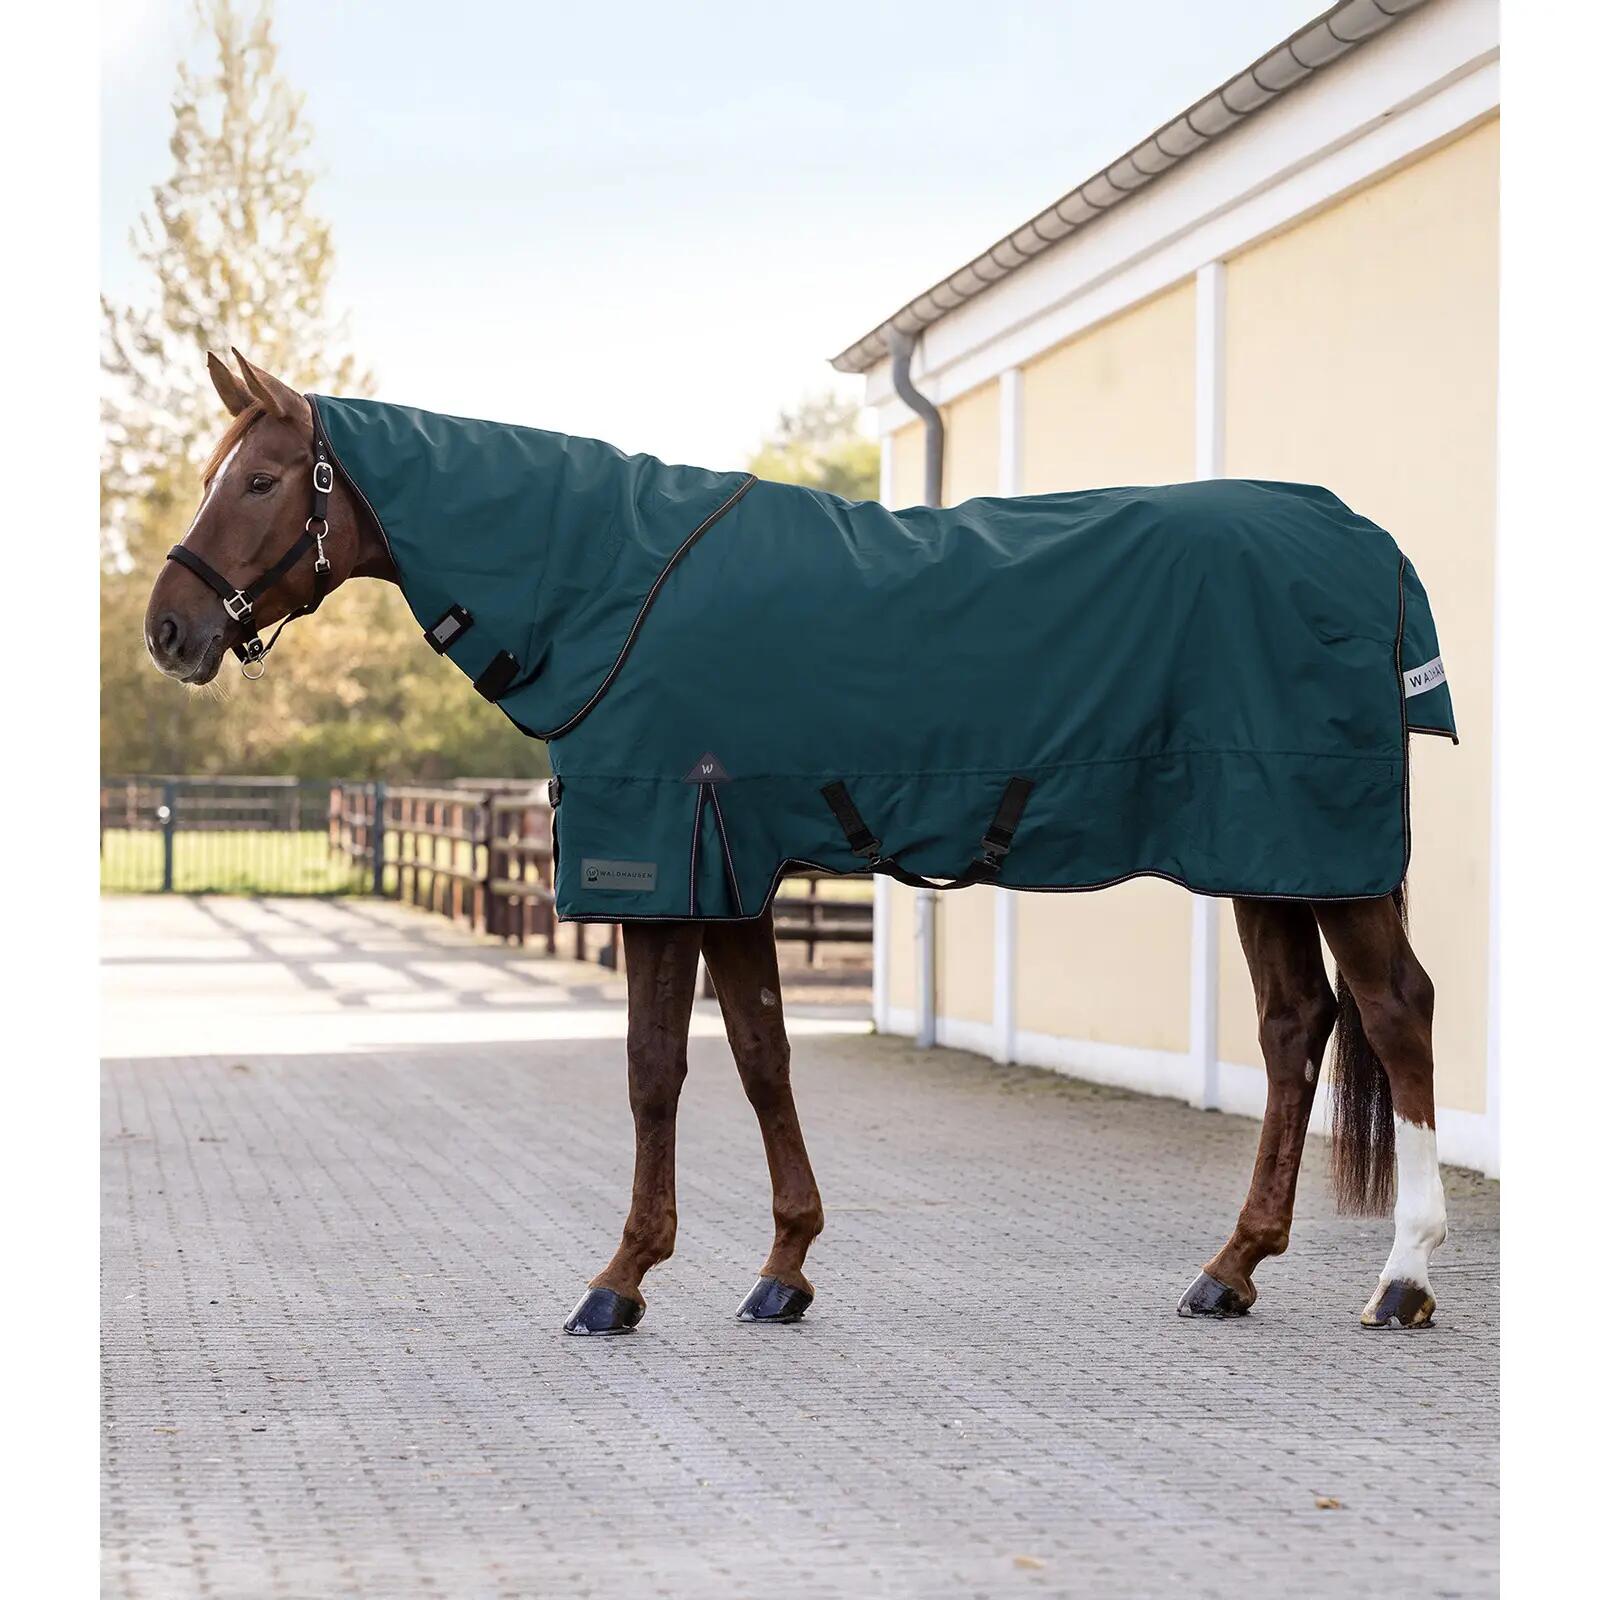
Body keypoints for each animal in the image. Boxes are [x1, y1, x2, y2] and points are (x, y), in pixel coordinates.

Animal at [142, 350, 1449, 1337]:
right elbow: (763, 1055)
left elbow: (654, 1071)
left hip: (1320, 851)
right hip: (1265, 856)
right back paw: (1230, 1269)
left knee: (1394, 1012)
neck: (609, 584)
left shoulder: (663, 864)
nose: (170, 629)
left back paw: (1402, 1278)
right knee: (1293, 1029)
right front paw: (783, 1269)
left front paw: (619, 1281)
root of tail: (1369, 545)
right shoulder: (730, 871)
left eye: (261, 479)